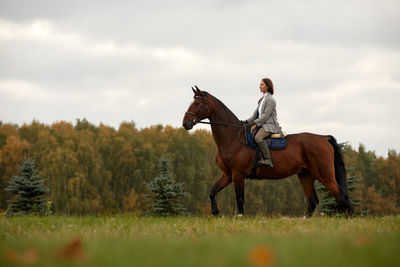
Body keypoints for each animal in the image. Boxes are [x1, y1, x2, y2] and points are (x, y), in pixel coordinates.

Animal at [181, 87, 354, 218]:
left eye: (197, 103)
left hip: (324, 174)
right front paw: (216, 212)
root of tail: (323, 138)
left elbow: (239, 199)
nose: (185, 123)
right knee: (313, 201)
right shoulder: (228, 175)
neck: (232, 138)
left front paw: (239, 218)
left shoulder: (238, 175)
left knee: (340, 195)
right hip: (305, 175)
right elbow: (212, 191)